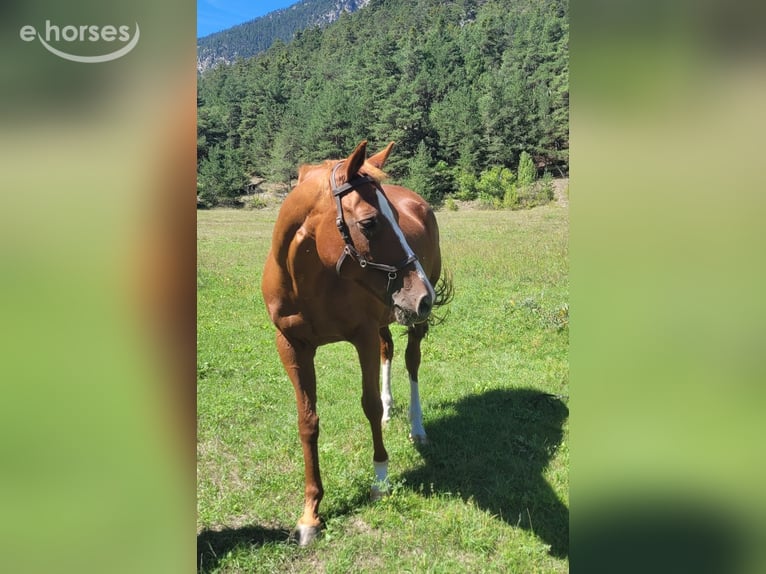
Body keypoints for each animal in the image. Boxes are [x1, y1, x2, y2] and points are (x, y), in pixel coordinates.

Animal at [261, 140, 451, 545]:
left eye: (394, 217)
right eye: (369, 222)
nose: (423, 296)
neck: (309, 278)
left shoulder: (361, 336)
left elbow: (368, 406)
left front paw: (380, 479)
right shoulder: (292, 346)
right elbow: (307, 421)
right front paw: (310, 513)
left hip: (411, 322)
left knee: (412, 362)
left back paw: (417, 428)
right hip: (391, 316)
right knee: (389, 352)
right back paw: (392, 407)